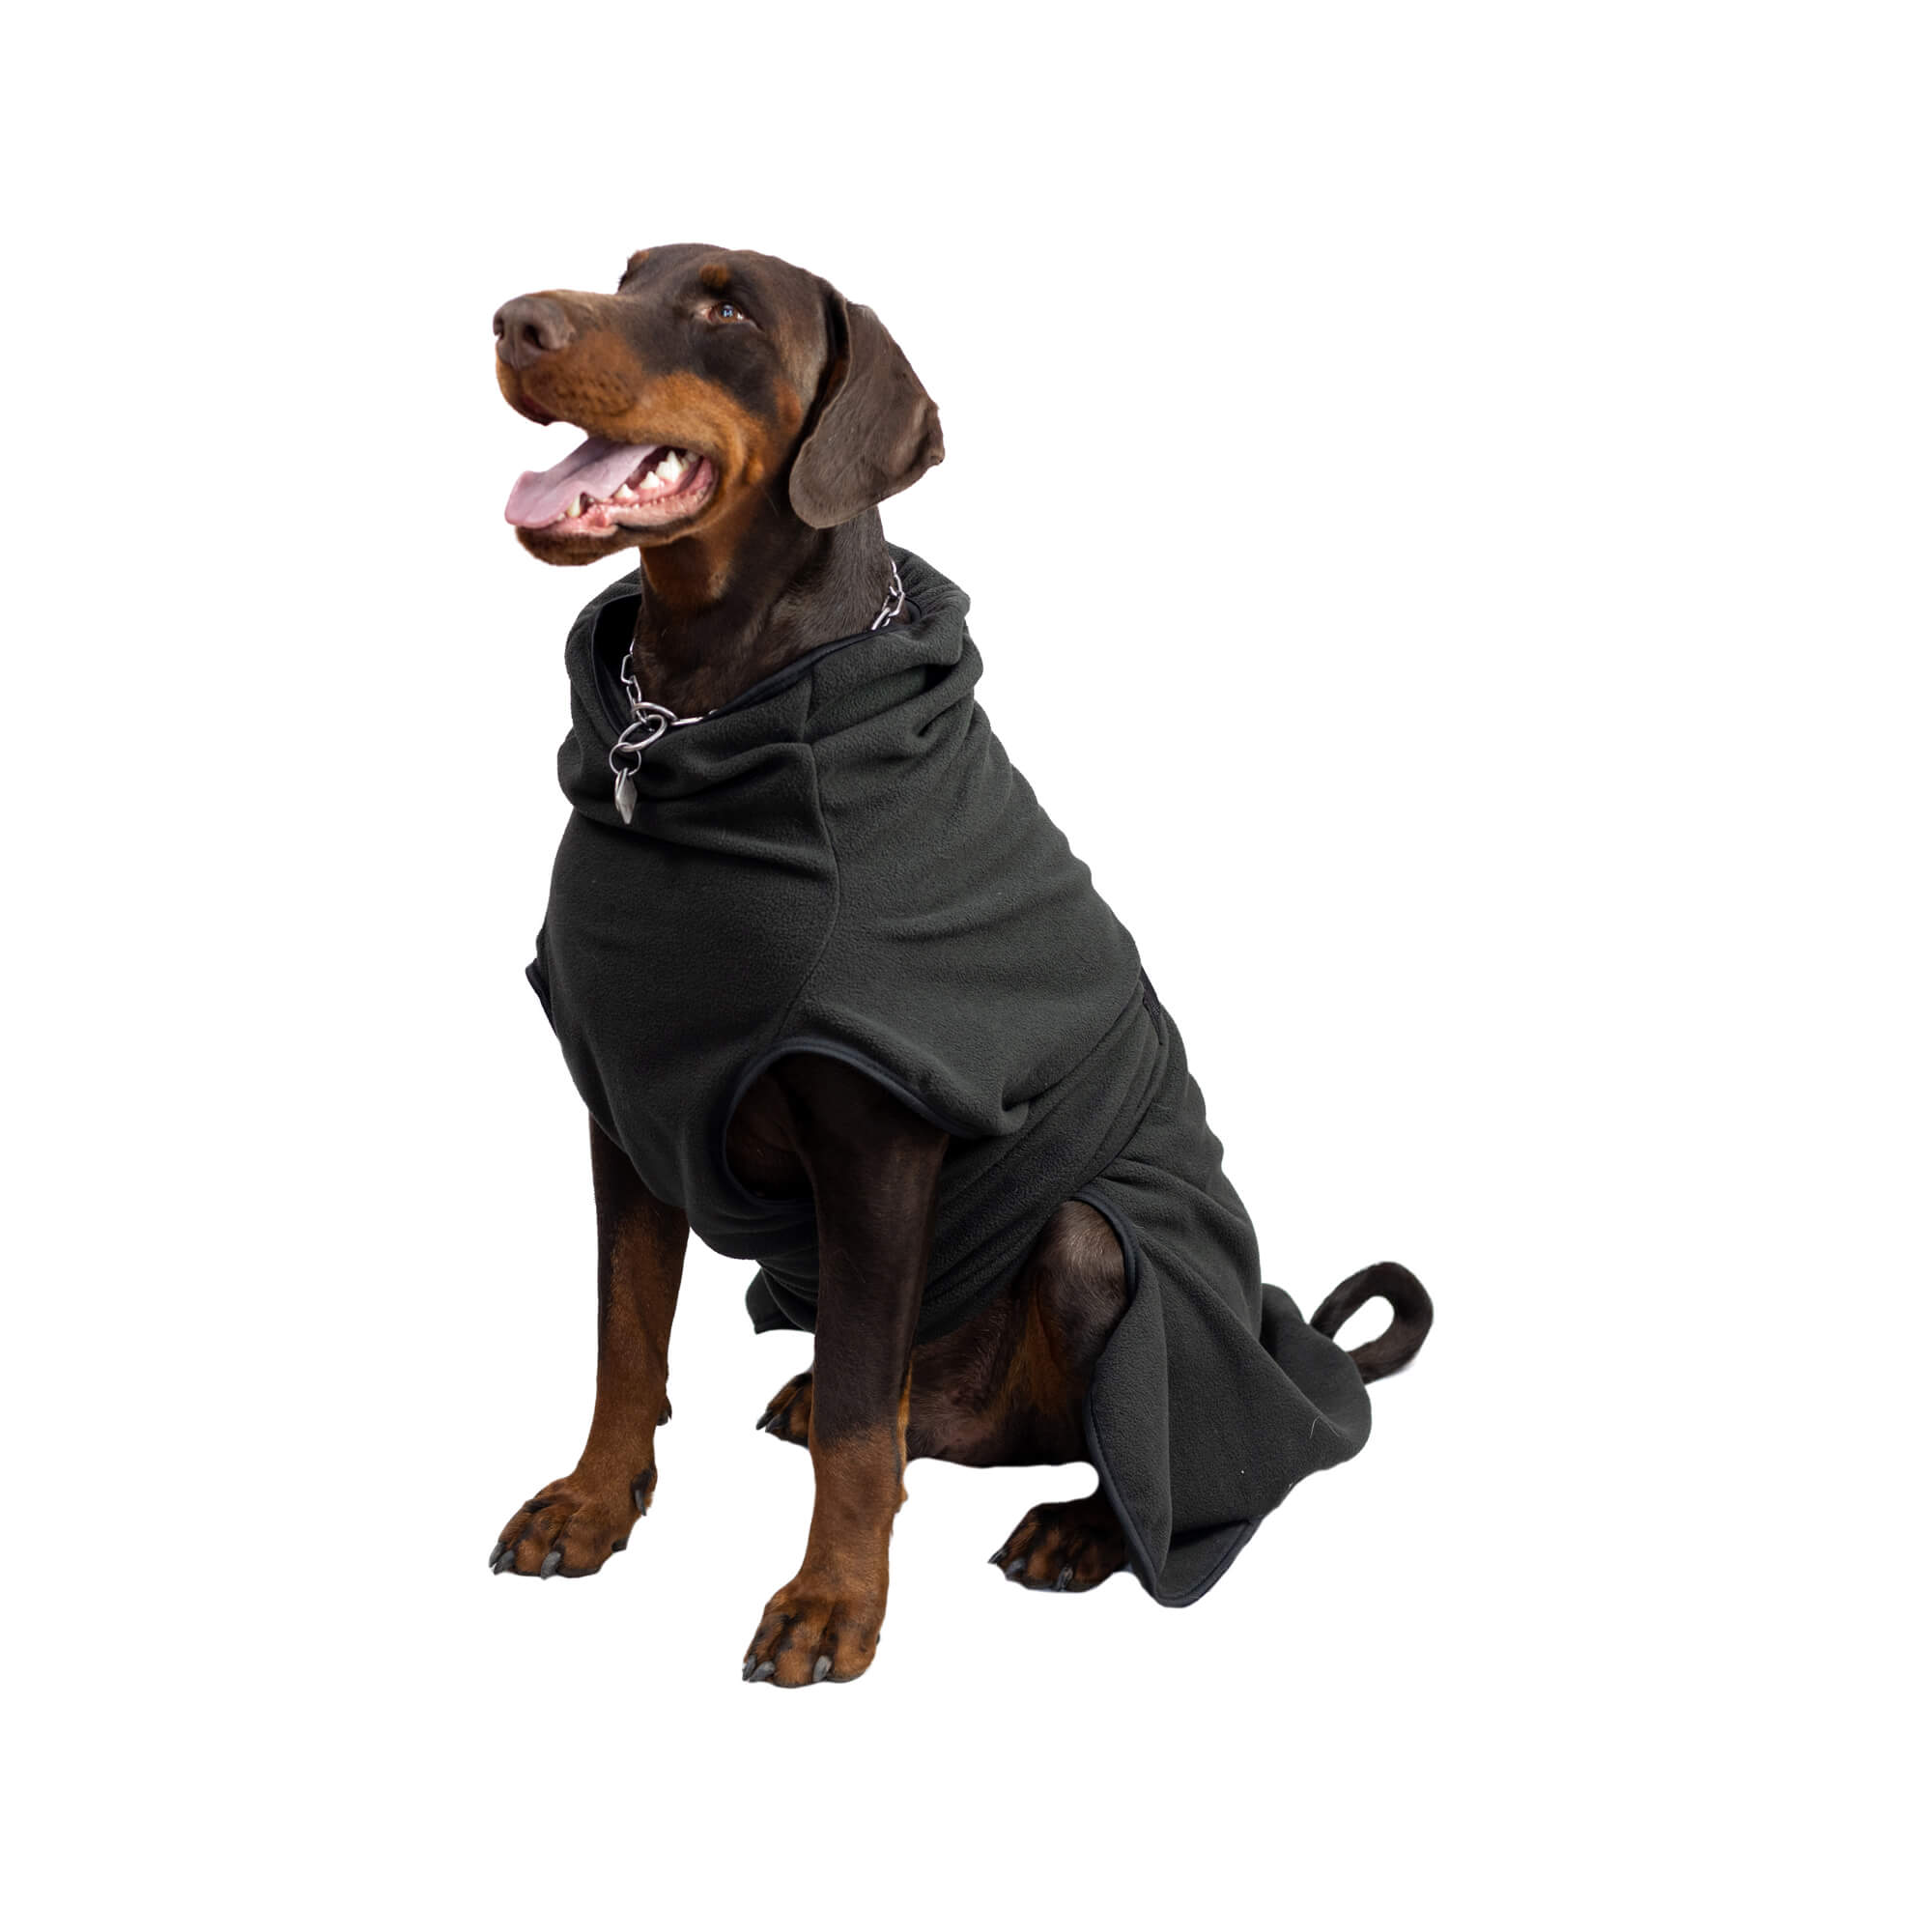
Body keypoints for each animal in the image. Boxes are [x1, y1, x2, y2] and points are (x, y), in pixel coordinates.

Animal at [487, 244, 1432, 1686]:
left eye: (723, 306)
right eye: (625, 273)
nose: (512, 322)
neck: (692, 714)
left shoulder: (878, 1135)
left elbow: (855, 1428)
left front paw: (830, 1603)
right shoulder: (629, 1104)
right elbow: (624, 1333)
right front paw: (591, 1505)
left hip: (1097, 1254)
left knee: (1110, 1438)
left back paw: (1082, 1528)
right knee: (895, 1408)